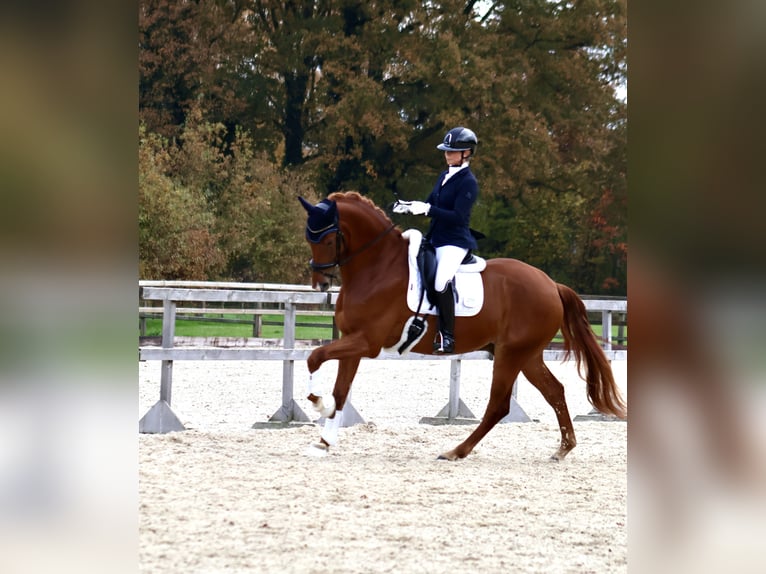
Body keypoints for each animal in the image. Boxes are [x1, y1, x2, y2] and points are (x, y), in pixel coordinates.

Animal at [298, 191, 626, 460]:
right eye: (309, 239)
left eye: (328, 239)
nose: (320, 283)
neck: (377, 268)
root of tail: (551, 284)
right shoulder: (352, 341)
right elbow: (340, 390)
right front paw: (324, 441)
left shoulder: (367, 341)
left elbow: (314, 357)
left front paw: (318, 403)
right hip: (527, 355)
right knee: (554, 391)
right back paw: (563, 448)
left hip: (511, 354)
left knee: (499, 405)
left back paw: (456, 451)